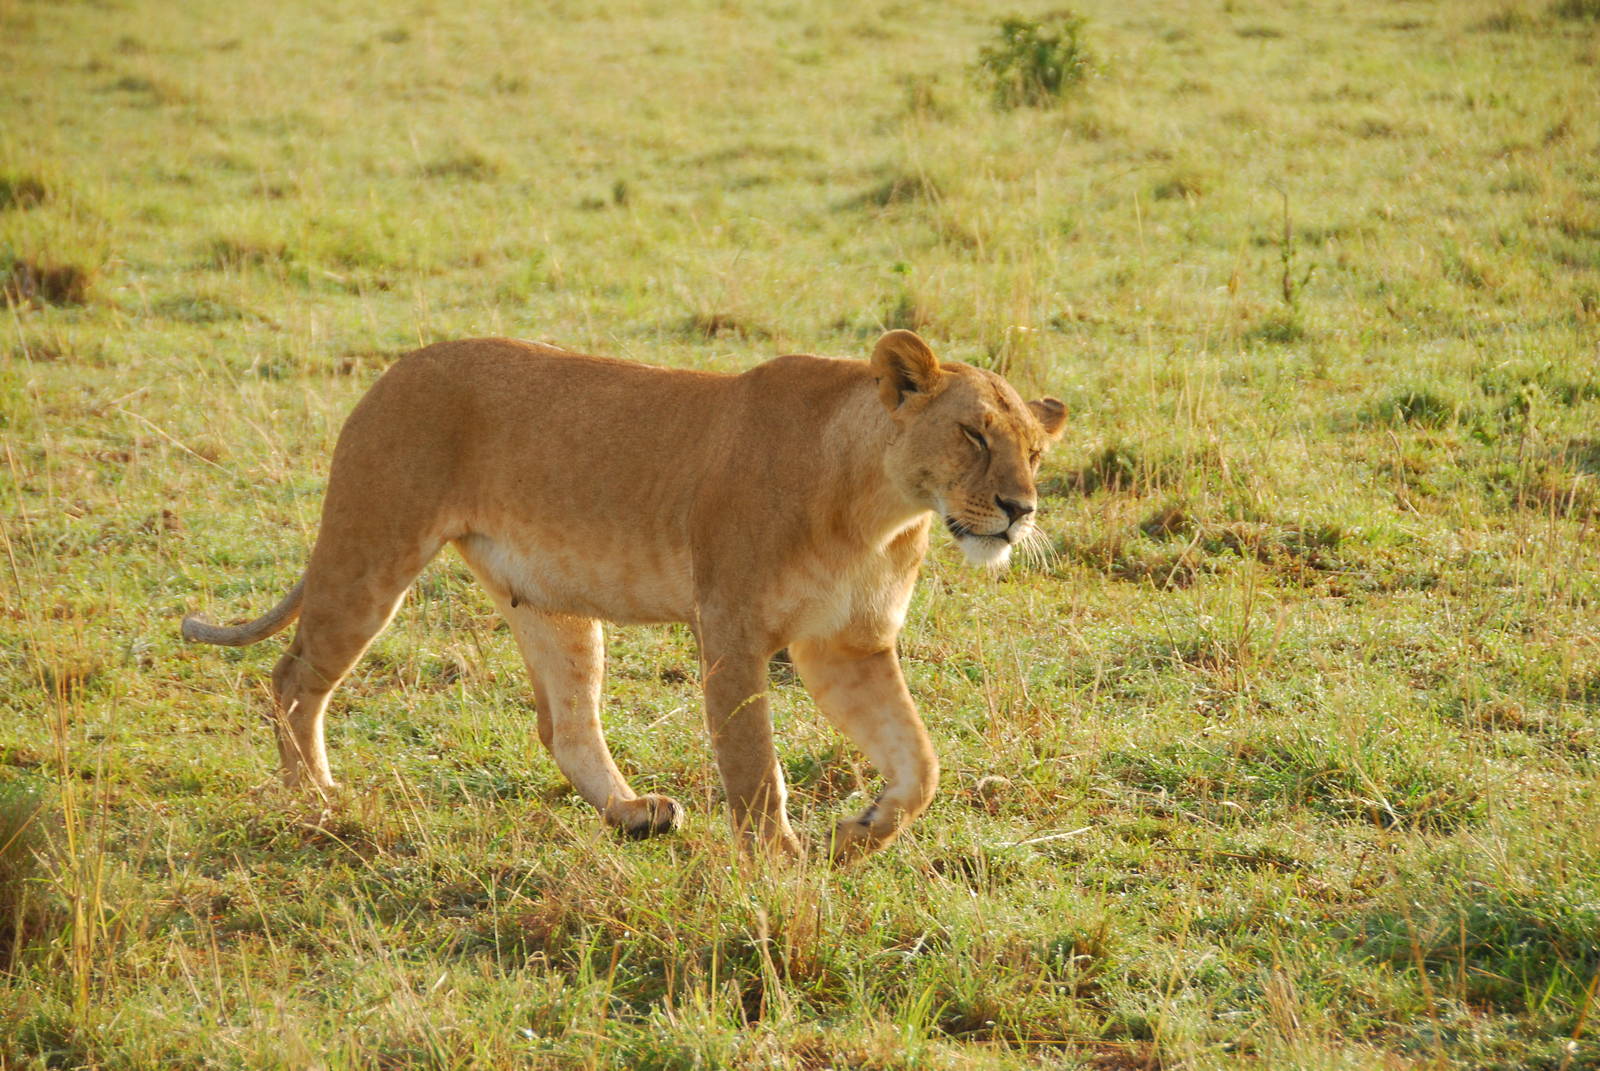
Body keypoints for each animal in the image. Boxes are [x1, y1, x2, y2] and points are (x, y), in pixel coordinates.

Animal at [181, 330, 1066, 859]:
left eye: (1034, 453)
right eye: (973, 435)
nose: (1020, 510)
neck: (880, 508)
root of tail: (396, 366)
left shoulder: (847, 644)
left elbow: (920, 759)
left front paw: (862, 831)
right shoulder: (732, 628)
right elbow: (754, 762)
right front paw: (778, 865)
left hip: (550, 601)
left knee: (565, 726)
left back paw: (636, 812)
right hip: (369, 553)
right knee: (294, 677)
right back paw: (316, 800)